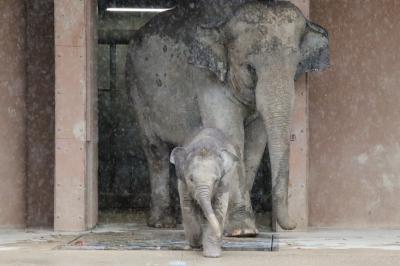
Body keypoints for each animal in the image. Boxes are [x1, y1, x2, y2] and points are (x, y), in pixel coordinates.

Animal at [127, 0, 328, 237]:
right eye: (250, 68)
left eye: (297, 66)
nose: (294, 224)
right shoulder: (207, 78)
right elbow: (232, 134)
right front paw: (243, 230)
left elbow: (255, 143)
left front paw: (228, 223)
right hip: (137, 91)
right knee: (155, 150)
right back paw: (163, 223)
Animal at [169, 129, 238, 258]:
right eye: (191, 179)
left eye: (216, 180)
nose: (220, 234)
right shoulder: (183, 183)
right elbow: (187, 207)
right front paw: (196, 244)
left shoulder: (225, 180)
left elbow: (219, 208)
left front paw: (212, 255)